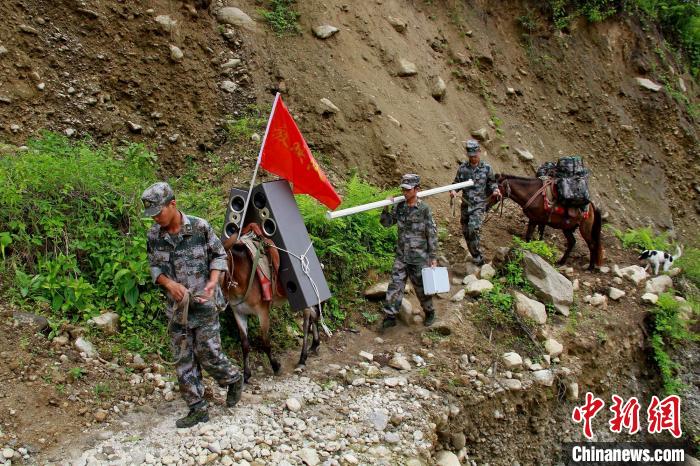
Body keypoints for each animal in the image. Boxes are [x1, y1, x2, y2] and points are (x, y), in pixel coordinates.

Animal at [220, 237, 322, 382]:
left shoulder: (262, 312)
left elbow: (265, 342)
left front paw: (275, 366)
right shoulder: (239, 312)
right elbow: (244, 344)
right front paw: (246, 374)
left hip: (305, 296)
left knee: (307, 322)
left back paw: (302, 359)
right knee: (315, 314)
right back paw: (315, 345)